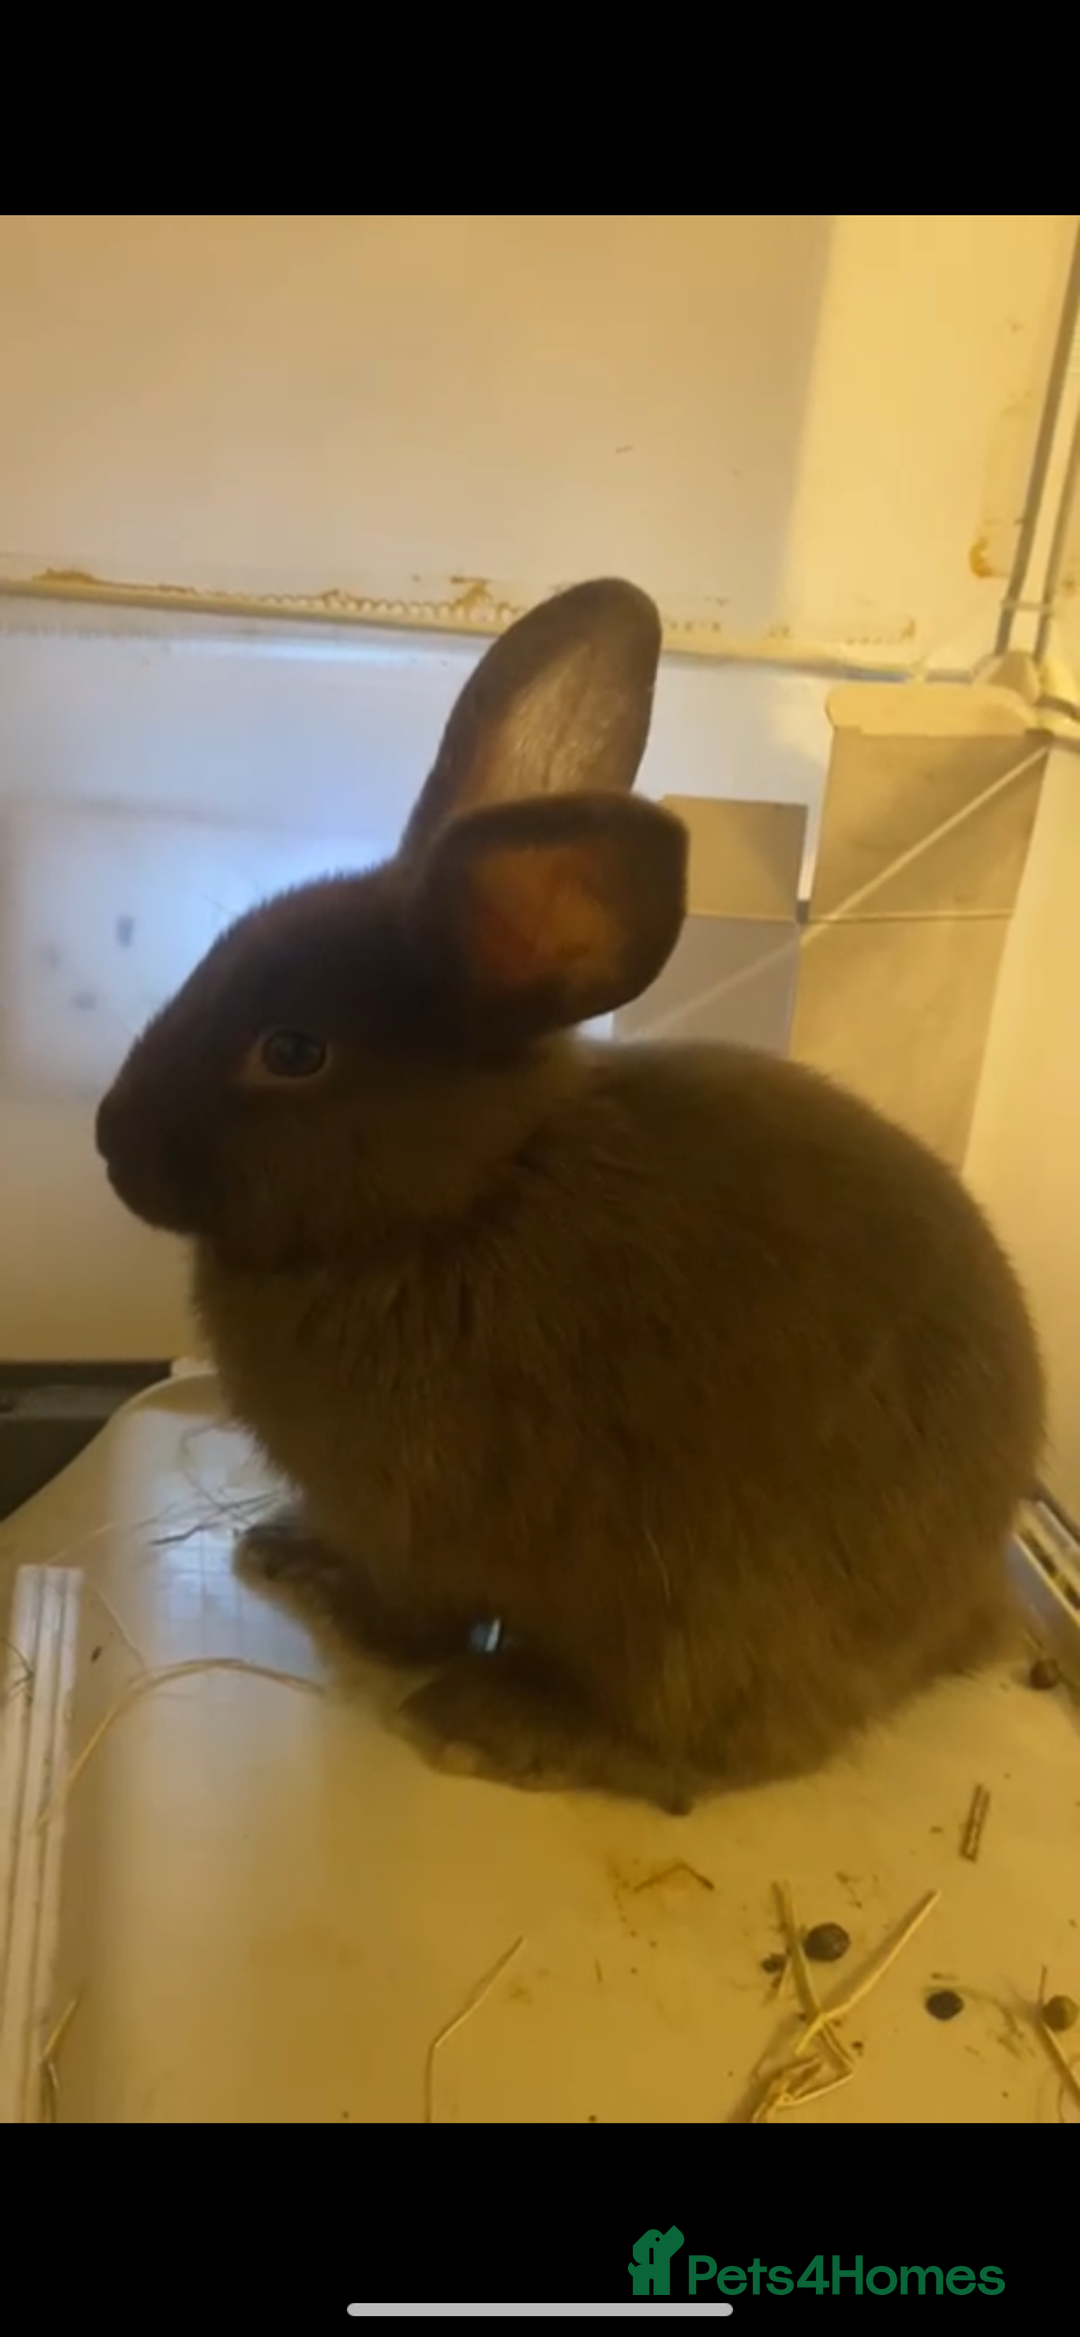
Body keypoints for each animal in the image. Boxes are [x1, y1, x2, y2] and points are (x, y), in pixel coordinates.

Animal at [95, 578, 1045, 1813]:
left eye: (292, 1051)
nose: (109, 1142)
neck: (467, 1194)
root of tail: (969, 1602)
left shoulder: (413, 1522)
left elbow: (412, 1612)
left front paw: (330, 1595)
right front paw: (290, 1546)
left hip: (710, 1622)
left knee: (715, 1748)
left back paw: (496, 1723)